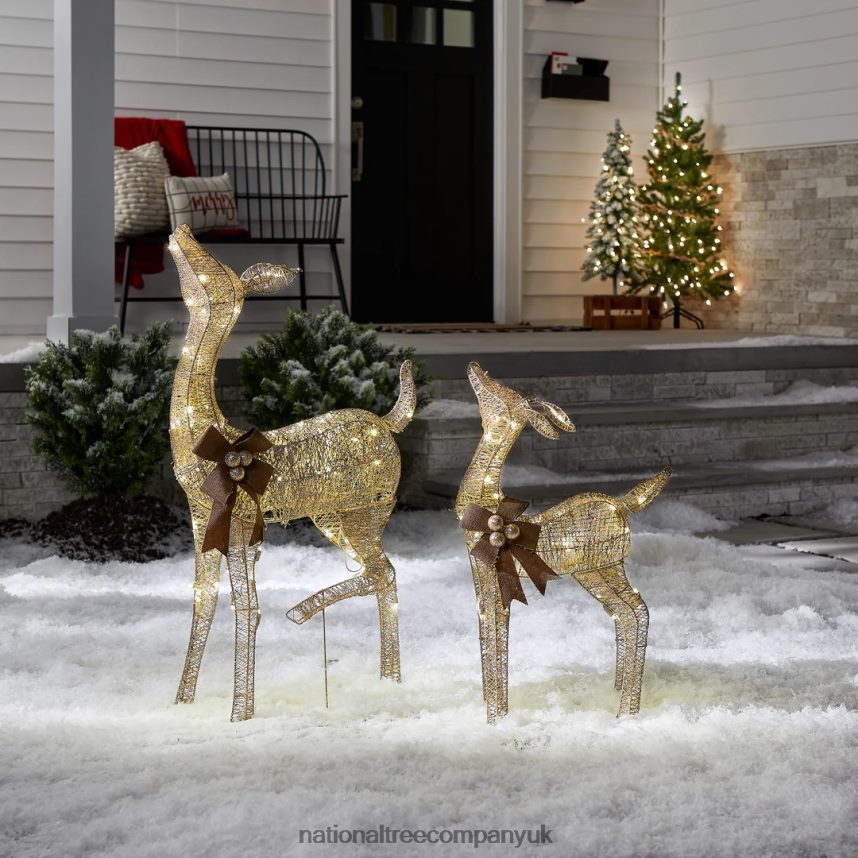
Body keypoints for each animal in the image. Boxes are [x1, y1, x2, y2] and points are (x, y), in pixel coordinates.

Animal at [167, 224, 416, 721]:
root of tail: (387, 422)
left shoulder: (238, 522)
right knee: (384, 574)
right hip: (337, 516)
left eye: (213, 269)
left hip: (363, 510)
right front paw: (183, 703)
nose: (181, 231)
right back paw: (387, 680)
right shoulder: (203, 521)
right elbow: (203, 601)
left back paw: (306, 613)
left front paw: (239, 715)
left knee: (383, 571)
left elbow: (246, 607)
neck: (207, 430)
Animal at [456, 363, 671, 723]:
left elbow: (496, 632)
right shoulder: (482, 573)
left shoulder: (494, 574)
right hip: (594, 574)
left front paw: (495, 718)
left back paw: (626, 712)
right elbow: (488, 627)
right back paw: (620, 697)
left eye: (500, 390)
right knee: (626, 613)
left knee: (636, 611)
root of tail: (623, 505)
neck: (486, 503)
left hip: (606, 566)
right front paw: (494, 711)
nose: (474, 367)